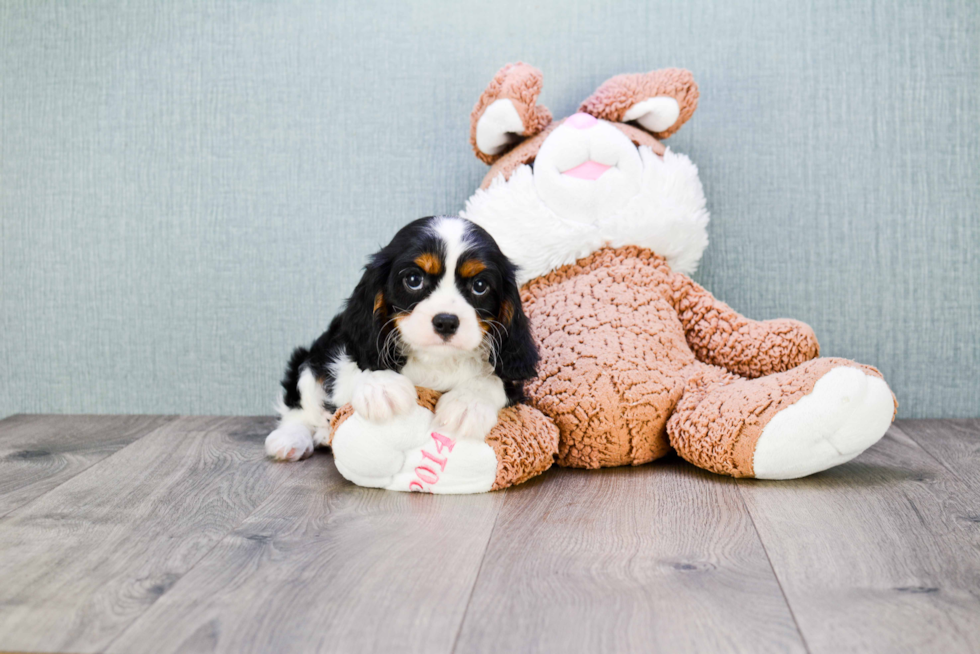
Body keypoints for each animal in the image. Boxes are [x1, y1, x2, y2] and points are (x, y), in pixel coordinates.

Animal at [264, 215, 540, 462]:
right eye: (414, 280)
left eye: (480, 286)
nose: (446, 321)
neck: (436, 360)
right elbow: (358, 366)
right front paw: (381, 386)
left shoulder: (513, 381)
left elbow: (494, 380)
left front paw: (468, 404)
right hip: (309, 360)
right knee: (298, 405)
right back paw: (291, 438)